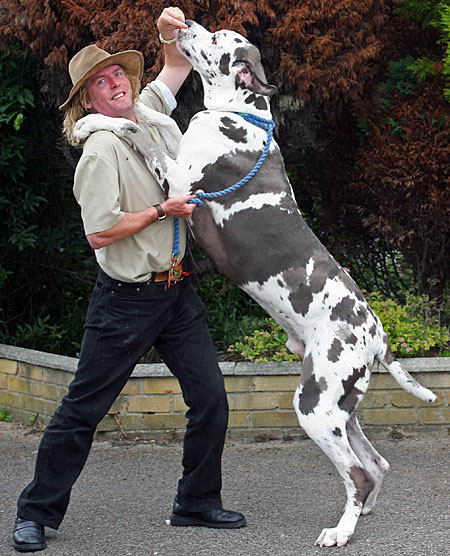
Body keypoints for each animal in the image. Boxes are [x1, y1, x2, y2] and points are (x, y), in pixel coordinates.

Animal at [76, 20, 436, 548]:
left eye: (217, 39)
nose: (185, 23)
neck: (239, 114)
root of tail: (377, 335)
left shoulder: (178, 185)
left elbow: (139, 131)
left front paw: (96, 125)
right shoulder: (181, 143)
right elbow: (152, 112)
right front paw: (99, 119)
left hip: (315, 403)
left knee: (358, 470)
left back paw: (339, 532)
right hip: (342, 406)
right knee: (375, 463)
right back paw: (360, 514)